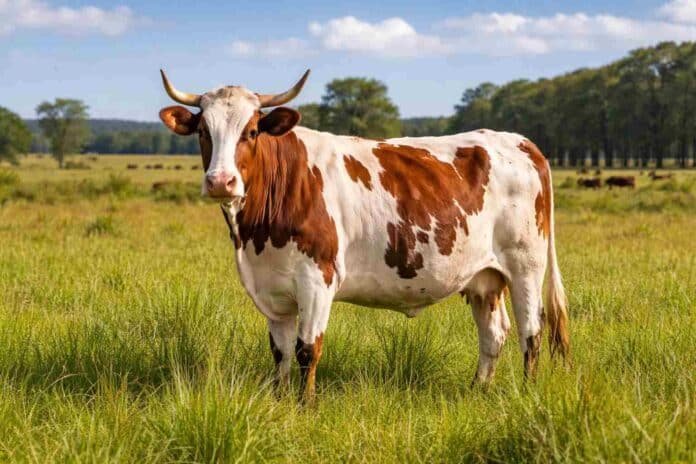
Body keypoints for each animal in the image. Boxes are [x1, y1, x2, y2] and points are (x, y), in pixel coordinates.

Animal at [158, 70, 570, 400]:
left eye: (252, 131)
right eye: (203, 132)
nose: (220, 182)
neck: (256, 238)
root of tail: (519, 142)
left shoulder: (317, 279)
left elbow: (308, 349)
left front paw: (305, 407)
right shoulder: (270, 288)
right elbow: (281, 353)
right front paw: (280, 403)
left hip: (525, 266)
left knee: (531, 332)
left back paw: (528, 394)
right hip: (484, 277)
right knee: (494, 334)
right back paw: (477, 391)